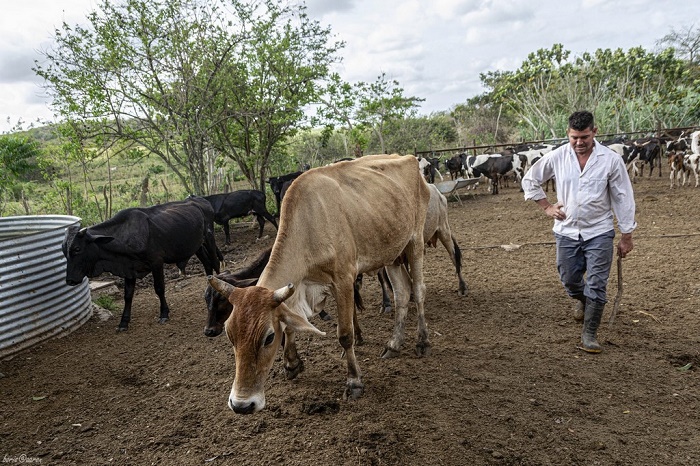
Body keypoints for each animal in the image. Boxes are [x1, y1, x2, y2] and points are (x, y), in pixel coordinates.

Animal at [205, 155, 430, 414]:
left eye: (269, 337)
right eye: (230, 334)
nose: (241, 404)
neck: (309, 226)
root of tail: (410, 158)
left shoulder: (343, 280)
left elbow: (345, 335)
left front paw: (354, 382)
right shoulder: (296, 290)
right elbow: (290, 325)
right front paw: (292, 364)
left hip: (415, 241)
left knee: (418, 291)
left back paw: (423, 342)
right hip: (392, 253)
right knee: (402, 293)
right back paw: (393, 344)